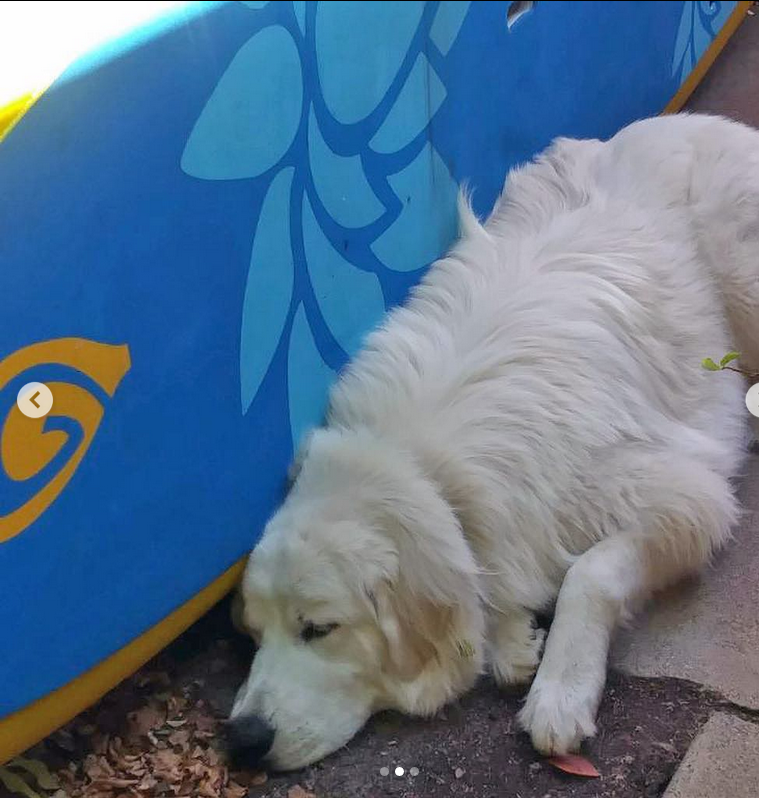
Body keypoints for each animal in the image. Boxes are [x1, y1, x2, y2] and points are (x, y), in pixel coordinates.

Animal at [229, 115, 759, 772]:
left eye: (319, 629)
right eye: (253, 633)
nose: (241, 740)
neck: (427, 472)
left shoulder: (687, 499)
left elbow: (589, 574)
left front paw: (559, 693)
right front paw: (514, 639)